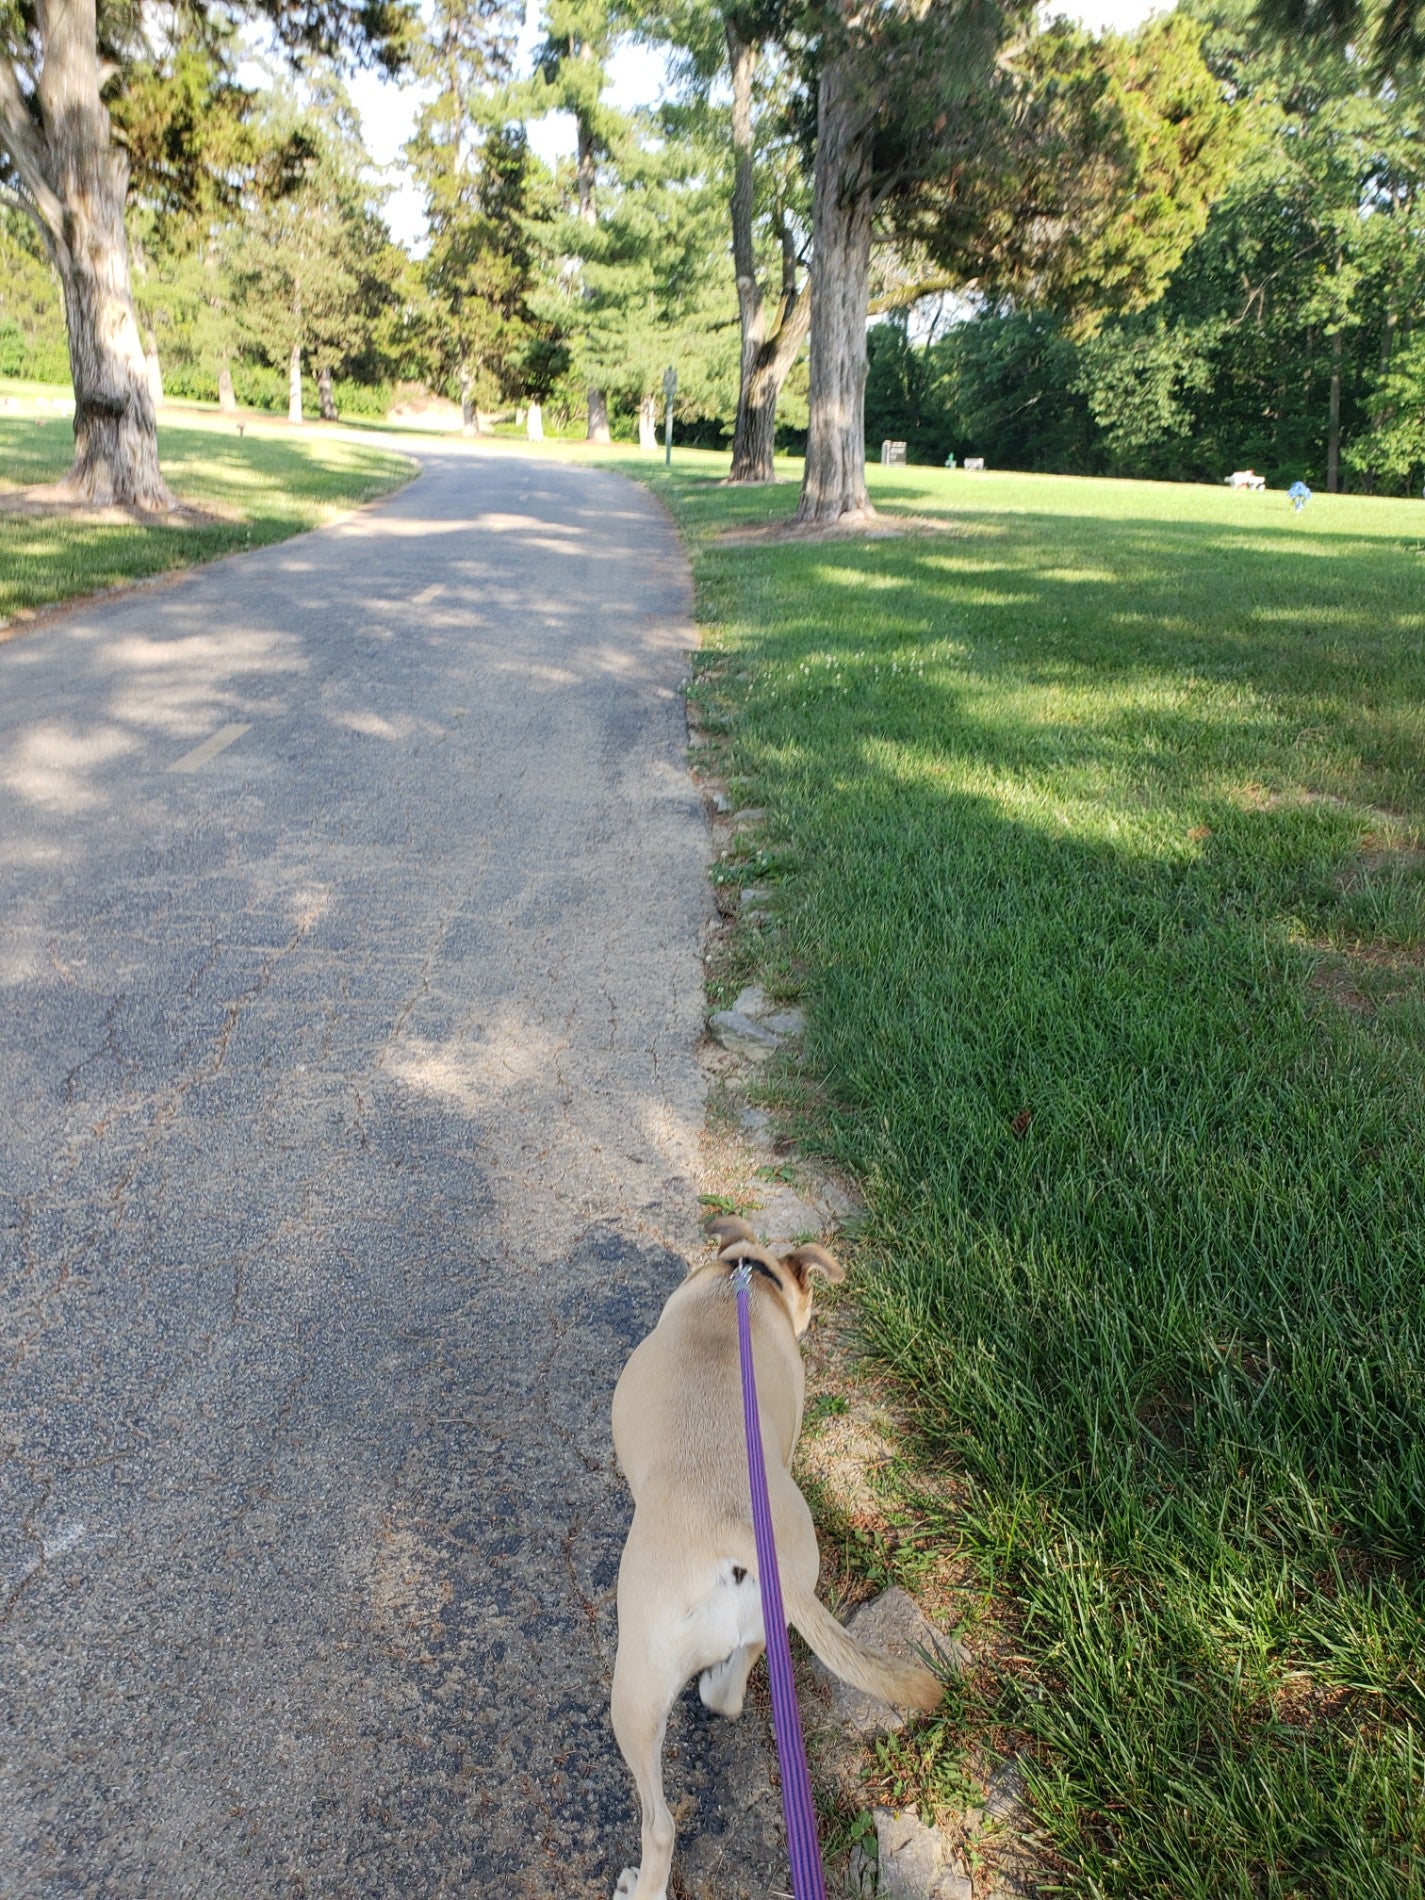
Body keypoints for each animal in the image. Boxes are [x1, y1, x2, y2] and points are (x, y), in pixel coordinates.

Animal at [608, 1223, 942, 1892]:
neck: (742, 1281)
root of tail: (736, 1530)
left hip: (635, 1686)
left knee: (659, 1823)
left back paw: (641, 1886)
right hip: (776, 1605)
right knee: (734, 1685)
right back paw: (718, 1682)